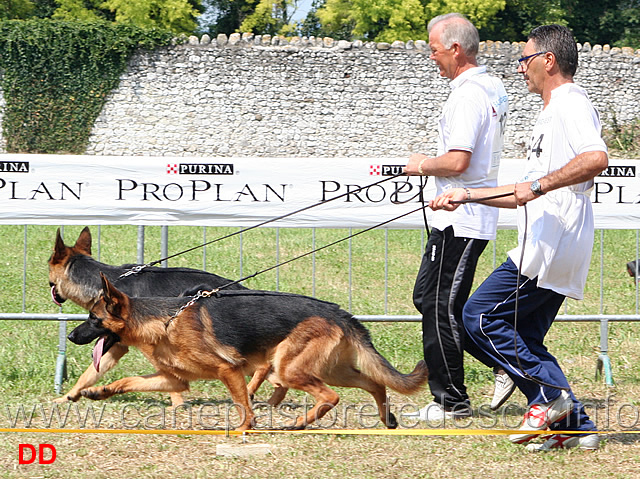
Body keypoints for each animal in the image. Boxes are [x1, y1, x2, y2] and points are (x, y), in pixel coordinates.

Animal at [48, 227, 282, 406]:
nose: (69, 337)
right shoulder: (116, 345)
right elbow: (90, 373)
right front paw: (69, 396)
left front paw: (177, 402)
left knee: (263, 366)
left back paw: (252, 392)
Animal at [70, 274, 430, 432]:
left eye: (93, 319)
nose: (72, 335)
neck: (164, 321)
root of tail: (339, 312)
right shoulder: (175, 381)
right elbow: (129, 380)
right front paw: (98, 391)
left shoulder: (228, 371)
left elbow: (244, 406)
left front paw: (245, 429)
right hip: (331, 370)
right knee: (376, 383)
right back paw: (387, 420)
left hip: (290, 369)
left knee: (331, 397)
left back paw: (299, 423)